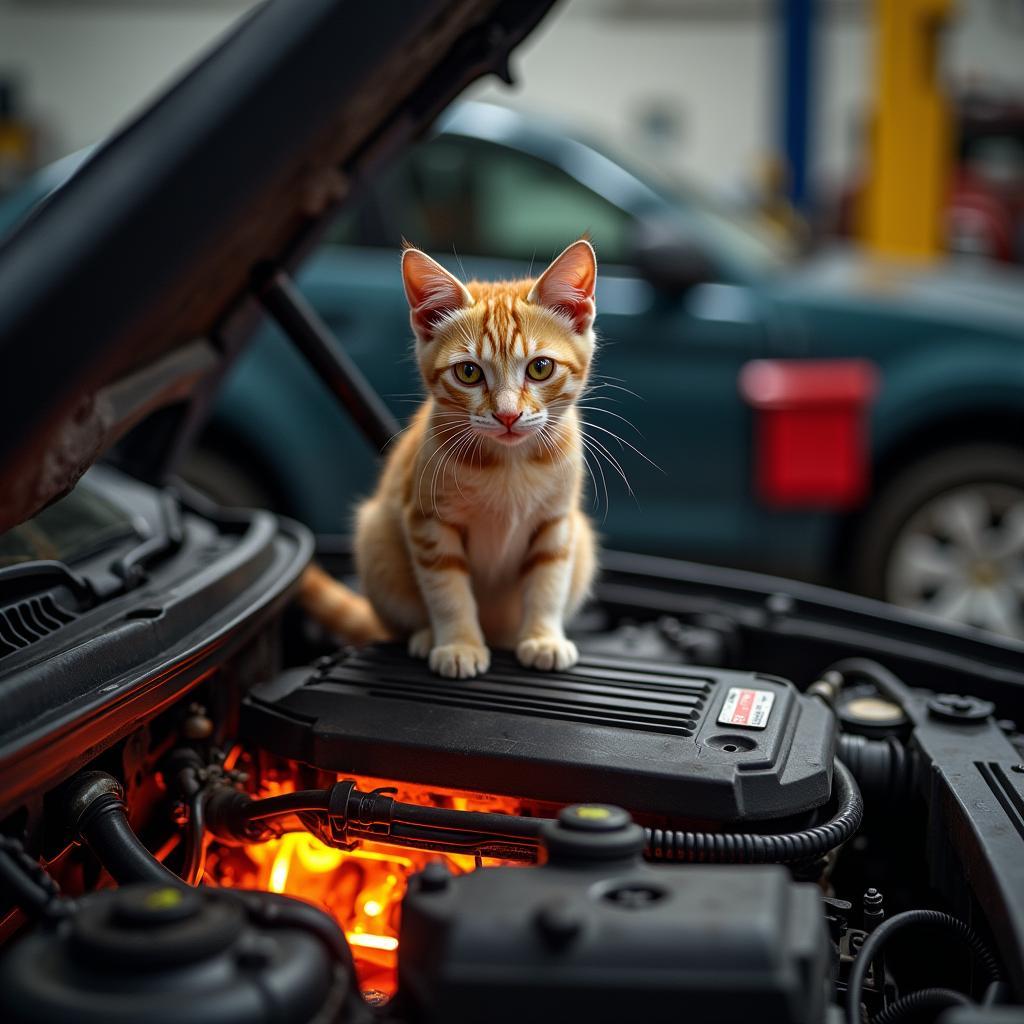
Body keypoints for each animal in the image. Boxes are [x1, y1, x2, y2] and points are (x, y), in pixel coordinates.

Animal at [299, 239, 598, 679]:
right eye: (469, 373)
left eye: (541, 368)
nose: (507, 415)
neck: (508, 463)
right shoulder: (428, 521)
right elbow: (448, 590)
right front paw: (458, 644)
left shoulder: (557, 522)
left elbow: (548, 582)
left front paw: (543, 637)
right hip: (376, 538)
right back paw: (426, 637)